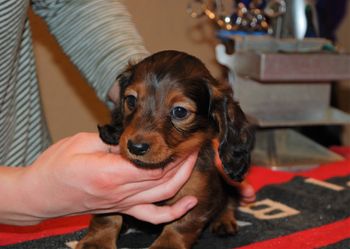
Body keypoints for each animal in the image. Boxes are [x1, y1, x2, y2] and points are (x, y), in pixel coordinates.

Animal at [77, 50, 254, 249]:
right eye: (130, 100)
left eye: (180, 111)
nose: (135, 147)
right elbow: (108, 215)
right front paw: (97, 241)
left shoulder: (196, 194)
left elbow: (182, 223)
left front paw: (167, 244)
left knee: (229, 201)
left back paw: (224, 220)